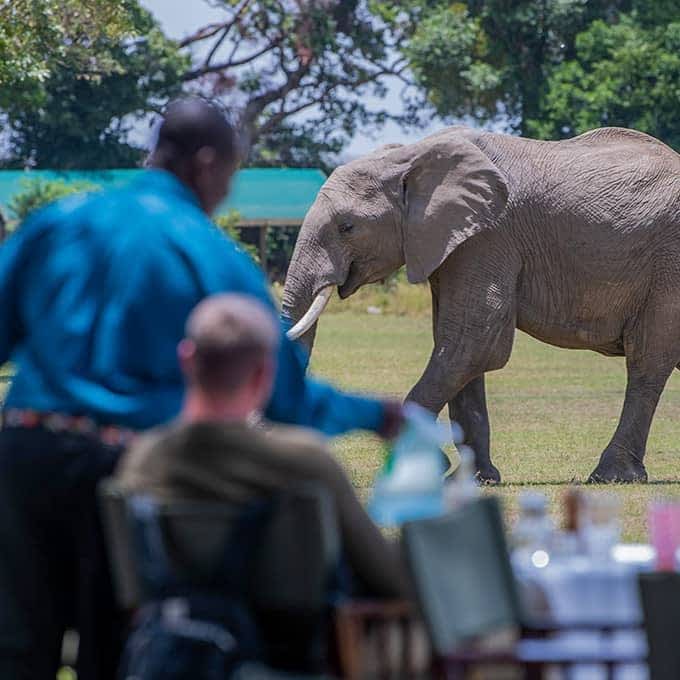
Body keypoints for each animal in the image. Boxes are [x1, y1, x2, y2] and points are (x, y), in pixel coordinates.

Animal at [280, 125, 680, 480]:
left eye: (347, 227)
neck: (410, 155)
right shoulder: (452, 244)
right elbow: (459, 348)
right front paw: (476, 478)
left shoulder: (489, 236)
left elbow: (473, 340)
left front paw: (428, 466)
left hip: (667, 271)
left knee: (647, 363)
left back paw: (611, 476)